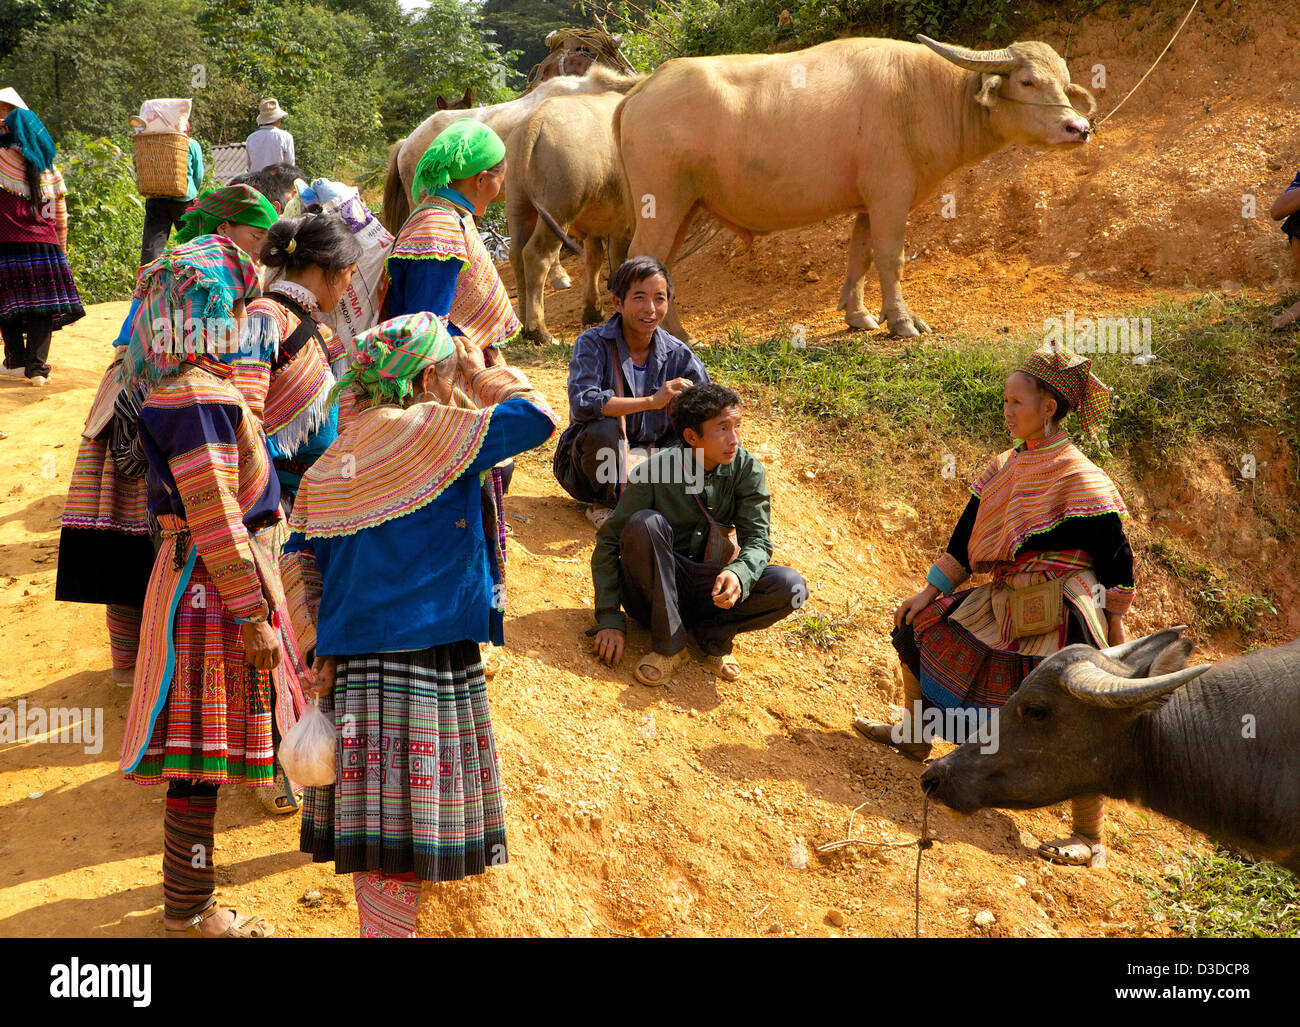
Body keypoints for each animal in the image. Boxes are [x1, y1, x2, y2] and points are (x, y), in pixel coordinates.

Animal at [501, 91, 634, 345]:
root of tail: (534, 121)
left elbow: (593, 259)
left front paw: (593, 311)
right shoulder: (625, 222)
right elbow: (619, 257)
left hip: (518, 205)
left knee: (516, 254)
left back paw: (523, 325)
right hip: (558, 209)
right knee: (535, 255)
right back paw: (540, 332)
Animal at [616, 34, 1097, 340]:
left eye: (1061, 80)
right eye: (1027, 81)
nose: (1078, 128)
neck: (924, 97)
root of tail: (639, 92)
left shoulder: (869, 202)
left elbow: (860, 255)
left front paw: (859, 315)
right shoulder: (890, 195)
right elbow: (890, 258)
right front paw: (903, 322)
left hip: (688, 205)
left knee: (663, 264)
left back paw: (679, 334)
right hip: (661, 201)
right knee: (644, 257)